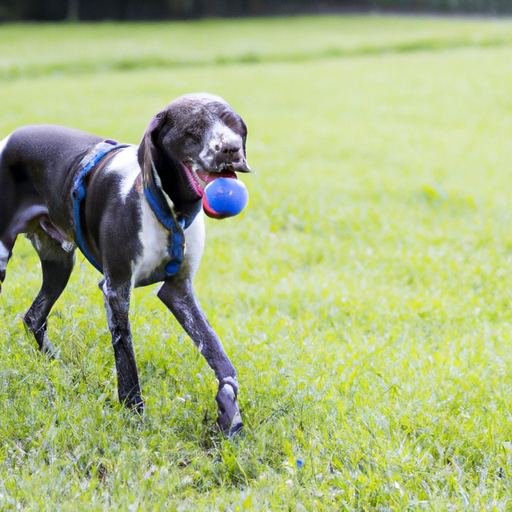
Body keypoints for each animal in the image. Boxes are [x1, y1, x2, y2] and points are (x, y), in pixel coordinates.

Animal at [0, 93, 250, 436]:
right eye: (194, 129)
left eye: (233, 124)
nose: (231, 149)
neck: (168, 209)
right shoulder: (116, 290)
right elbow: (126, 360)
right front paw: (133, 413)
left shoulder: (179, 291)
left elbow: (220, 357)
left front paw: (229, 411)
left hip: (59, 264)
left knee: (34, 317)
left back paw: (60, 367)